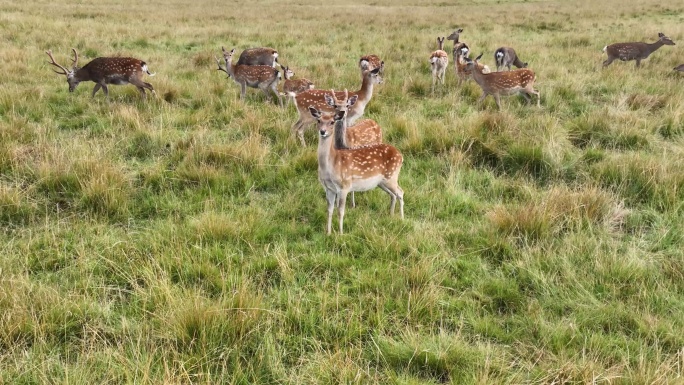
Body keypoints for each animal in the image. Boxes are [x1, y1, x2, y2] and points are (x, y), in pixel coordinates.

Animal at [316, 89, 406, 234]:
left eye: (332, 122)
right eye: (318, 120)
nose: (322, 132)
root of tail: (400, 155)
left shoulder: (344, 186)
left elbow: (340, 211)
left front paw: (340, 233)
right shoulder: (328, 188)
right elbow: (329, 210)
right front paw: (328, 233)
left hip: (391, 176)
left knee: (401, 192)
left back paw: (402, 219)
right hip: (382, 182)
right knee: (394, 194)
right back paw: (391, 215)